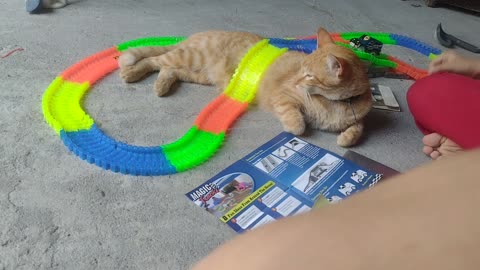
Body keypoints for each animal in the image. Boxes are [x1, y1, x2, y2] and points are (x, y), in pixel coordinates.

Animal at [118, 26, 374, 148]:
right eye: (301, 70)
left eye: (309, 75)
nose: (297, 81)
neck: (336, 105)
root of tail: (196, 35)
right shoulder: (283, 97)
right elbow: (297, 122)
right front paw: (296, 126)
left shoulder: (359, 117)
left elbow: (359, 127)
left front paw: (346, 137)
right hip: (190, 57)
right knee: (154, 60)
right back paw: (131, 72)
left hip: (199, 73)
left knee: (168, 69)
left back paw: (161, 85)